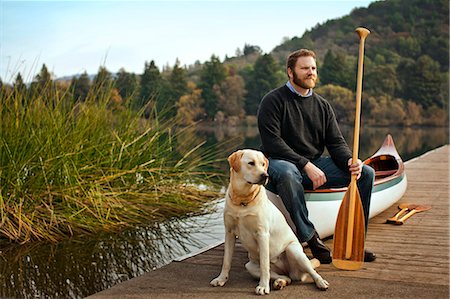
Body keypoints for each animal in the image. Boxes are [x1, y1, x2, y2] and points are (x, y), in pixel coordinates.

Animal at [209, 150, 328, 296]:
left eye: (263, 164)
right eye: (251, 163)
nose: (265, 176)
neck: (242, 199)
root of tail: (288, 270)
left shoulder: (262, 234)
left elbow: (264, 265)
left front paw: (263, 287)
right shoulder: (229, 233)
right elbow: (226, 261)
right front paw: (221, 279)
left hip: (294, 250)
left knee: (311, 271)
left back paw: (320, 282)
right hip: (250, 266)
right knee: (286, 277)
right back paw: (280, 282)